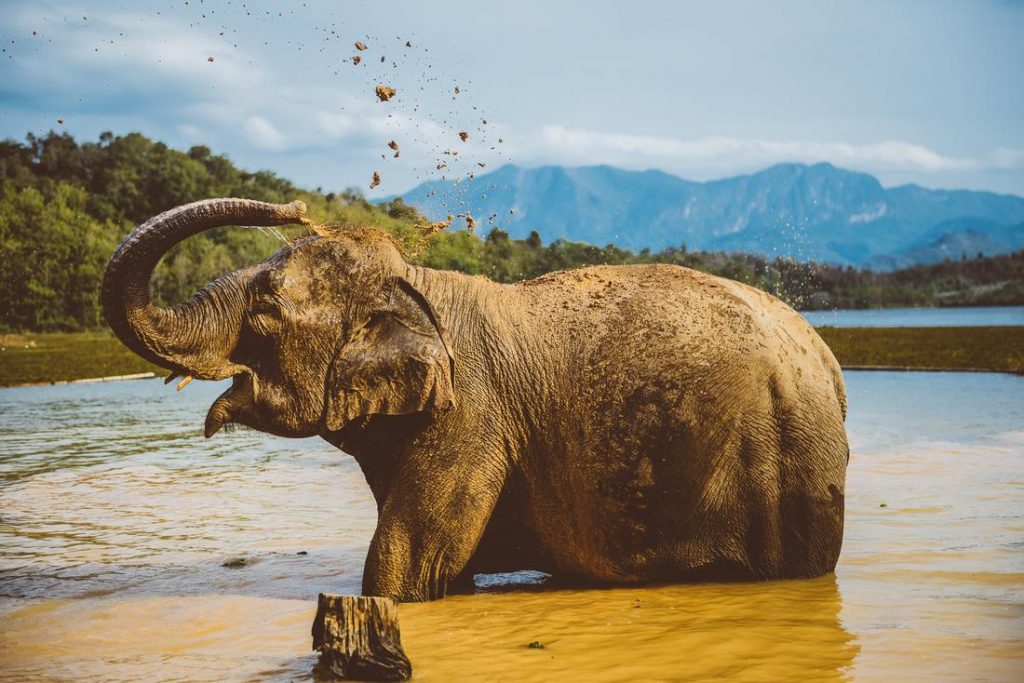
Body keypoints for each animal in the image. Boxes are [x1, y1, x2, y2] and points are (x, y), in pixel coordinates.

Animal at [102, 197, 849, 602]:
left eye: (262, 314)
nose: (297, 207)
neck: (417, 283)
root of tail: (826, 360)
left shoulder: (472, 416)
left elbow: (405, 562)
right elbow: (437, 563)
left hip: (794, 472)